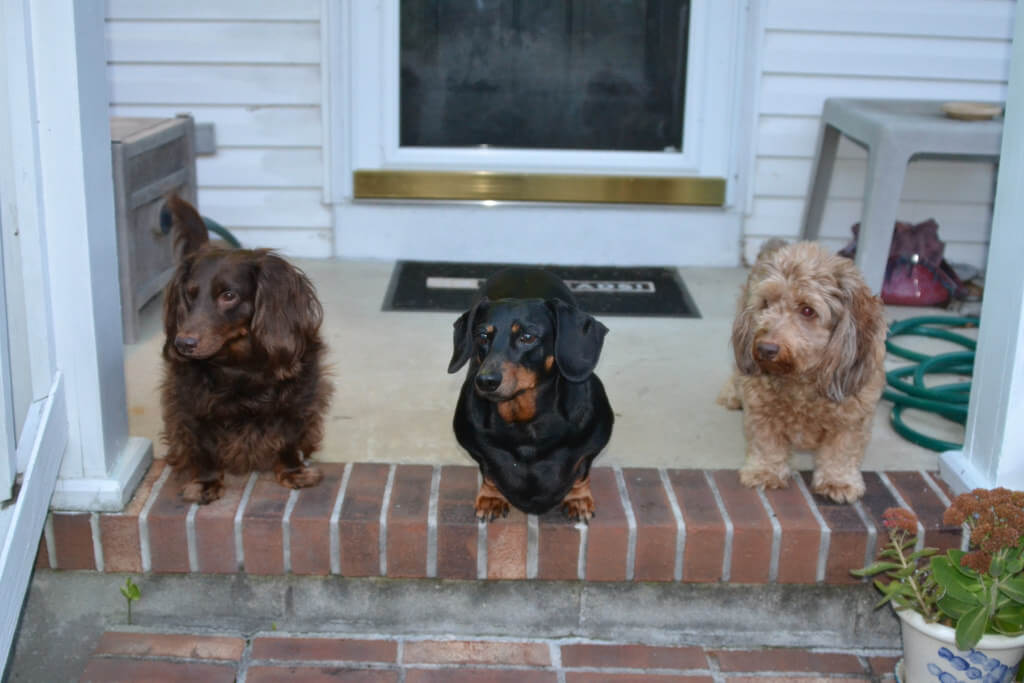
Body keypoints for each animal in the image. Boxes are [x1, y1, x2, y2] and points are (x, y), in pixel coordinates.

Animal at [720, 240, 888, 501]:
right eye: (766, 303)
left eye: (808, 310)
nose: (765, 348)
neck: (802, 379)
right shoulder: (760, 407)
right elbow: (766, 441)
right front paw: (765, 471)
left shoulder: (854, 417)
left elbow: (842, 450)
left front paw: (838, 481)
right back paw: (731, 394)